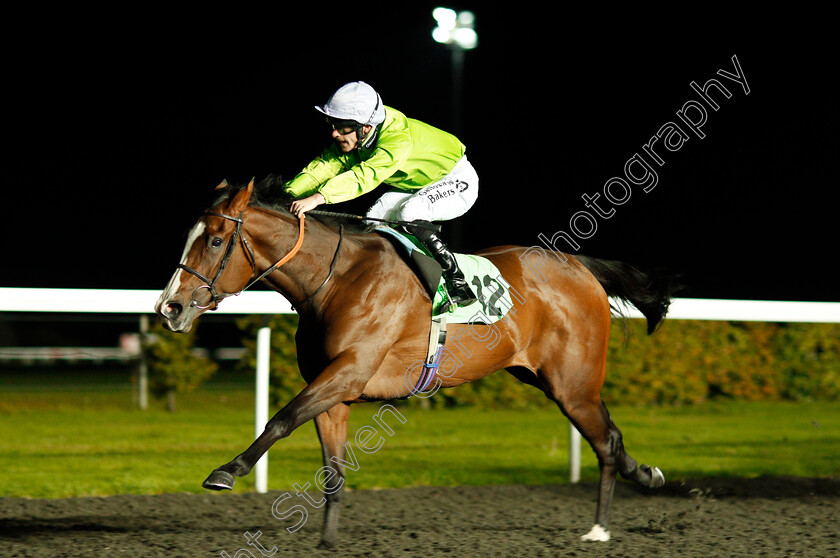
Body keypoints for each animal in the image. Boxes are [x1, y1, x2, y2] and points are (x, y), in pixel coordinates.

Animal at [153, 178, 676, 548]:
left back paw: (600, 528)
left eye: (215, 241)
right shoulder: (333, 390)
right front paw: (327, 540)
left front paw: (227, 470)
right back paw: (645, 476)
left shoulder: (349, 371)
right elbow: (333, 470)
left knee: (605, 441)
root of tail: (580, 267)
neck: (337, 278)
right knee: (612, 439)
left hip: (573, 383)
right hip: (551, 381)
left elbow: (280, 419)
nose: (169, 307)